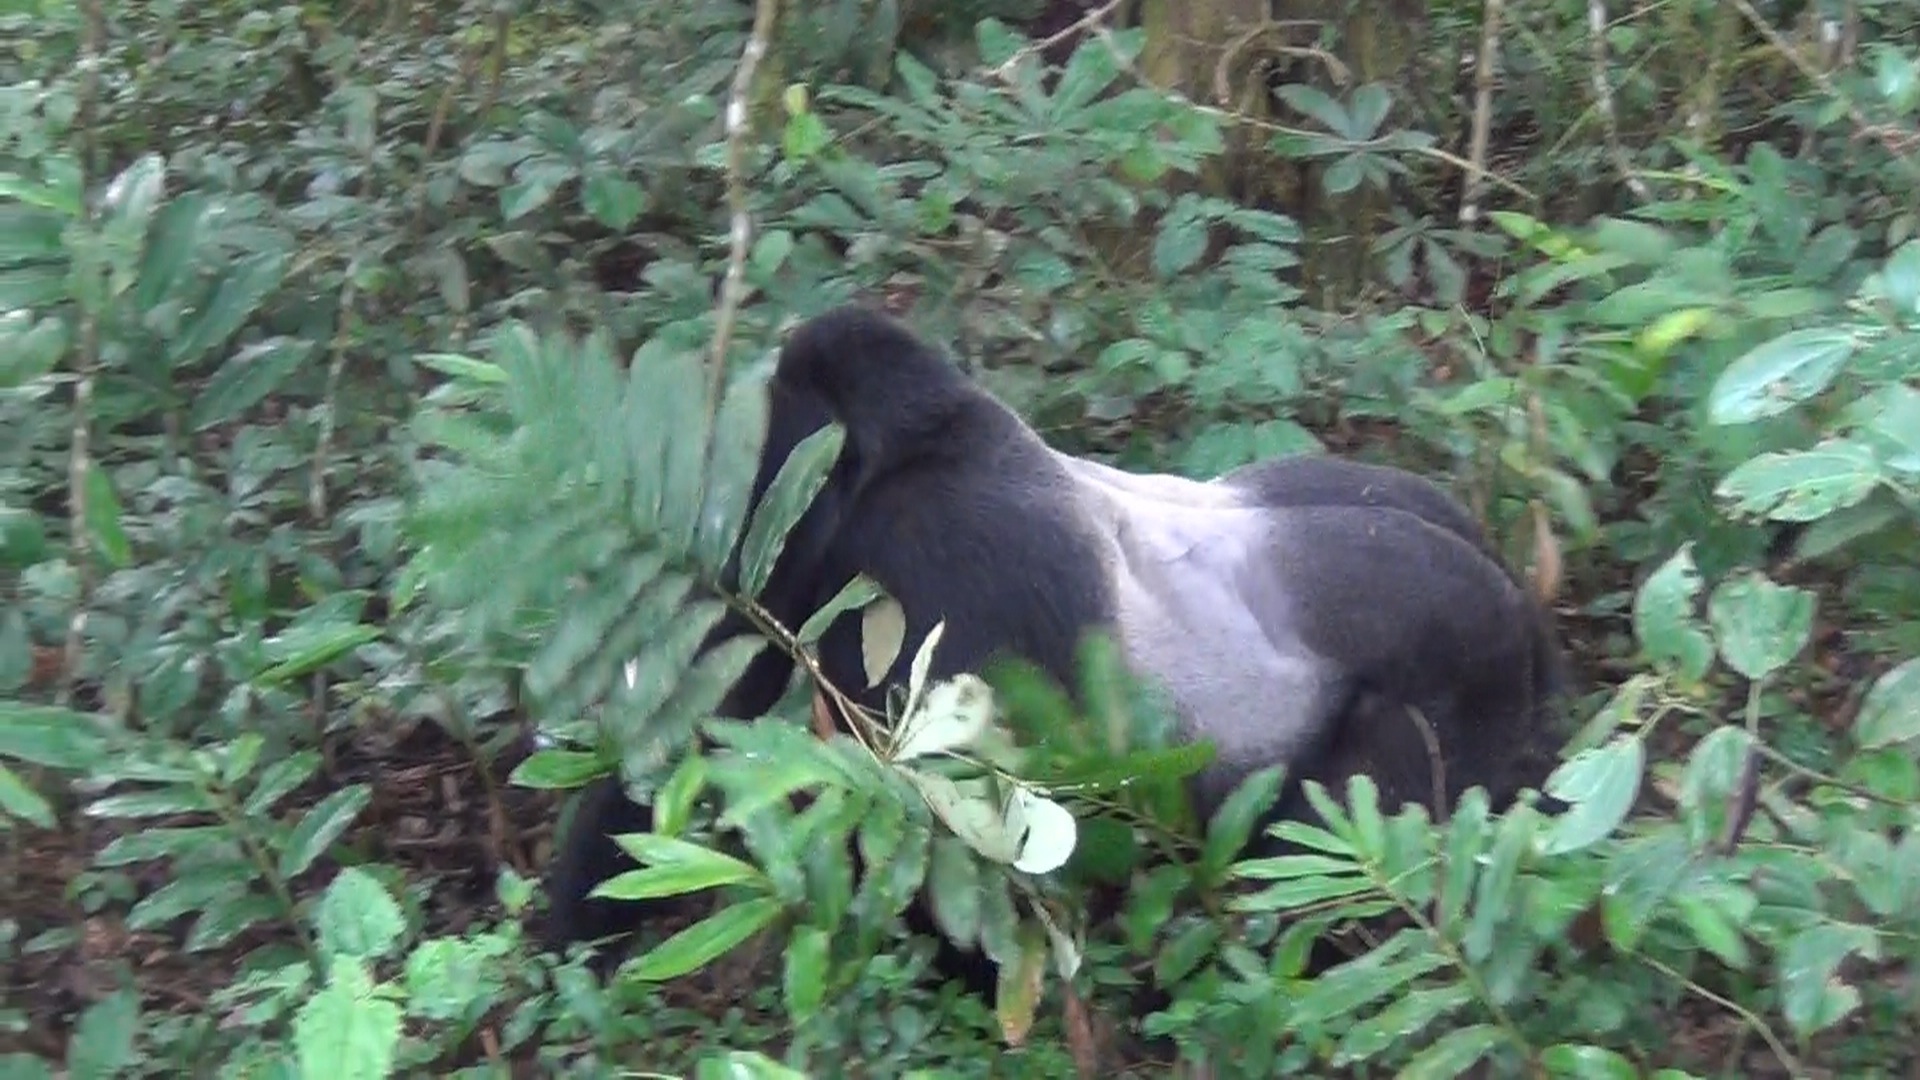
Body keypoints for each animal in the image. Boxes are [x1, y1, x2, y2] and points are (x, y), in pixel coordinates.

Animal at [542, 304, 1568, 995]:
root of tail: (1520, 604)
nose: (719, 548)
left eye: (753, 468)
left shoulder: (934, 562)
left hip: (1462, 683)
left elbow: (957, 832)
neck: (905, 450)